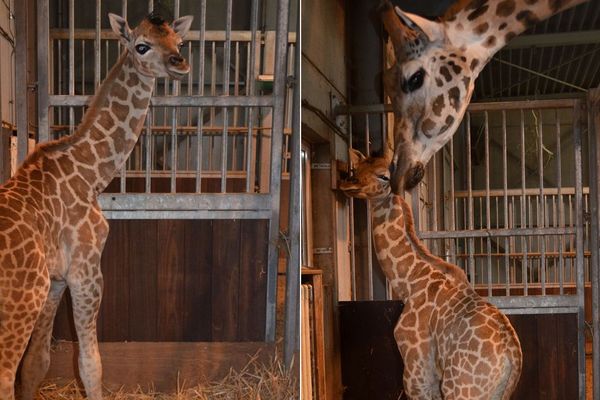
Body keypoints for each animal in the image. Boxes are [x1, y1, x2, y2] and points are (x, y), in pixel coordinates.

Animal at [0, 10, 192, 398]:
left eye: (179, 41)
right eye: (142, 45)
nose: (180, 62)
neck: (92, 174)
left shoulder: (56, 280)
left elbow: (36, 364)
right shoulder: (86, 269)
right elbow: (90, 365)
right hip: (18, 305)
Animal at [340, 148, 524, 398]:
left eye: (383, 176)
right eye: (356, 168)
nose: (347, 183)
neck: (409, 282)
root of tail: (512, 357)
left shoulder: (417, 371)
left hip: (459, 387)